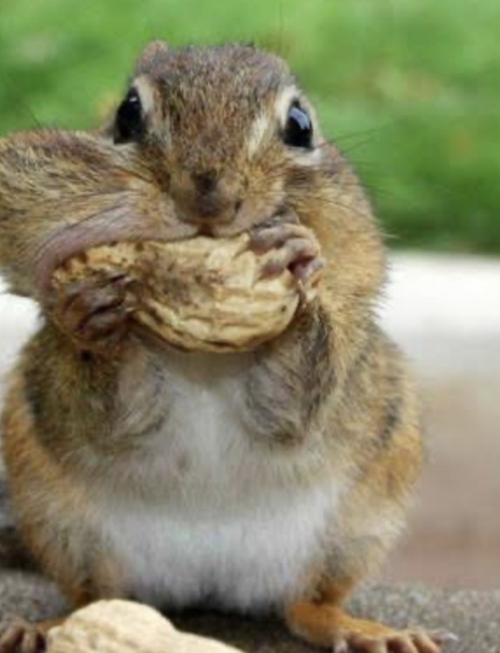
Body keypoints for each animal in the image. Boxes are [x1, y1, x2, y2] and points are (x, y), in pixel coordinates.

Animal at [0, 42, 451, 653]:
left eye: (300, 125)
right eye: (126, 115)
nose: (207, 199)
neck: (204, 362)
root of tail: (207, 585)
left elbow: (292, 408)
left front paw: (298, 266)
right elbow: (115, 418)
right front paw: (90, 312)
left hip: (359, 523)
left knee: (306, 604)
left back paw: (359, 628)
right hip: (60, 522)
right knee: (95, 597)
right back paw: (42, 627)